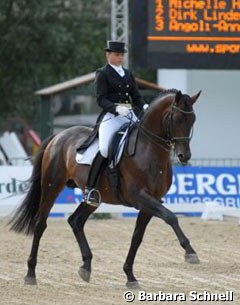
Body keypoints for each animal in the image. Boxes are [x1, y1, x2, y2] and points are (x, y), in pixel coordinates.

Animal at [8, 89, 201, 288]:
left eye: (192, 119)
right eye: (176, 119)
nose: (184, 156)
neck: (148, 150)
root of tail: (58, 136)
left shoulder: (150, 202)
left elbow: (137, 237)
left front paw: (130, 276)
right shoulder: (140, 197)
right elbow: (171, 217)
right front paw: (190, 252)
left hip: (93, 198)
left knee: (76, 221)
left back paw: (85, 267)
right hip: (51, 186)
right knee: (40, 224)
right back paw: (30, 274)